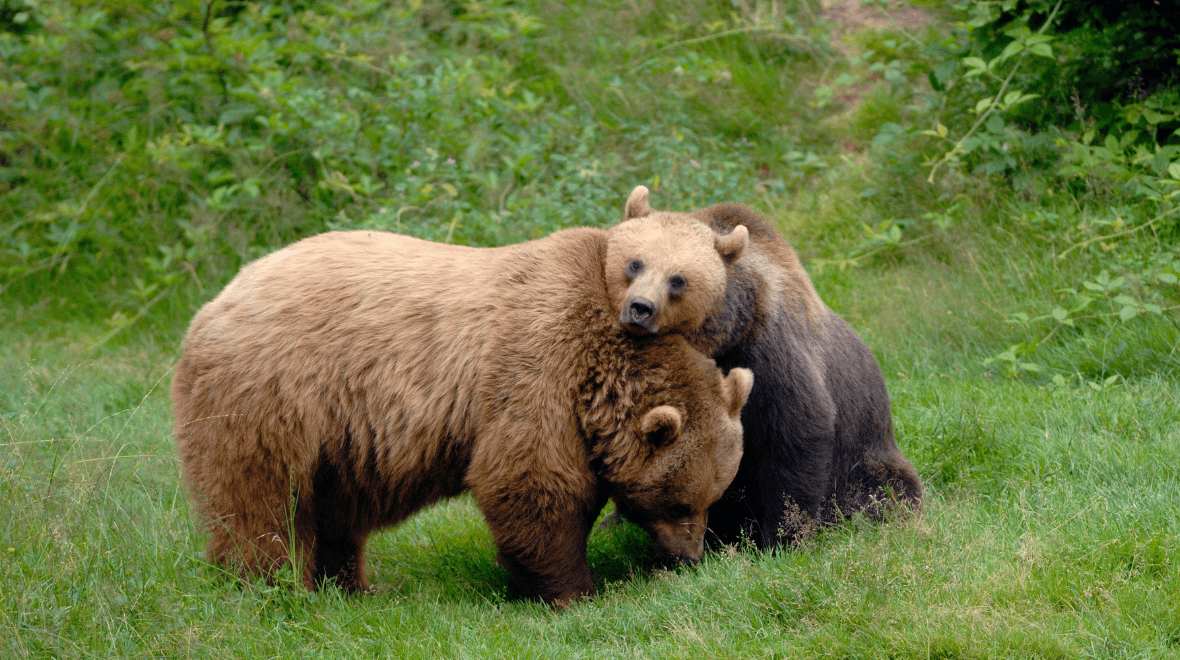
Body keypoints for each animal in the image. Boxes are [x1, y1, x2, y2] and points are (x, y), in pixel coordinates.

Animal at [172, 226, 754, 608]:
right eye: (679, 502)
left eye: (716, 494)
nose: (691, 556)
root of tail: (214, 303)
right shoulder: (537, 365)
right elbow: (531, 480)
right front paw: (576, 591)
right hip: (271, 395)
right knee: (260, 500)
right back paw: (270, 585)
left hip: (344, 433)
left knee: (335, 506)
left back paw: (353, 584)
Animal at [605, 185, 922, 549]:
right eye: (635, 263)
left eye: (678, 280)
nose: (641, 308)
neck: (715, 340)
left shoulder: (765, 355)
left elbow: (796, 434)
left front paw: (782, 538)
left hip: (866, 457)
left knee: (883, 491)